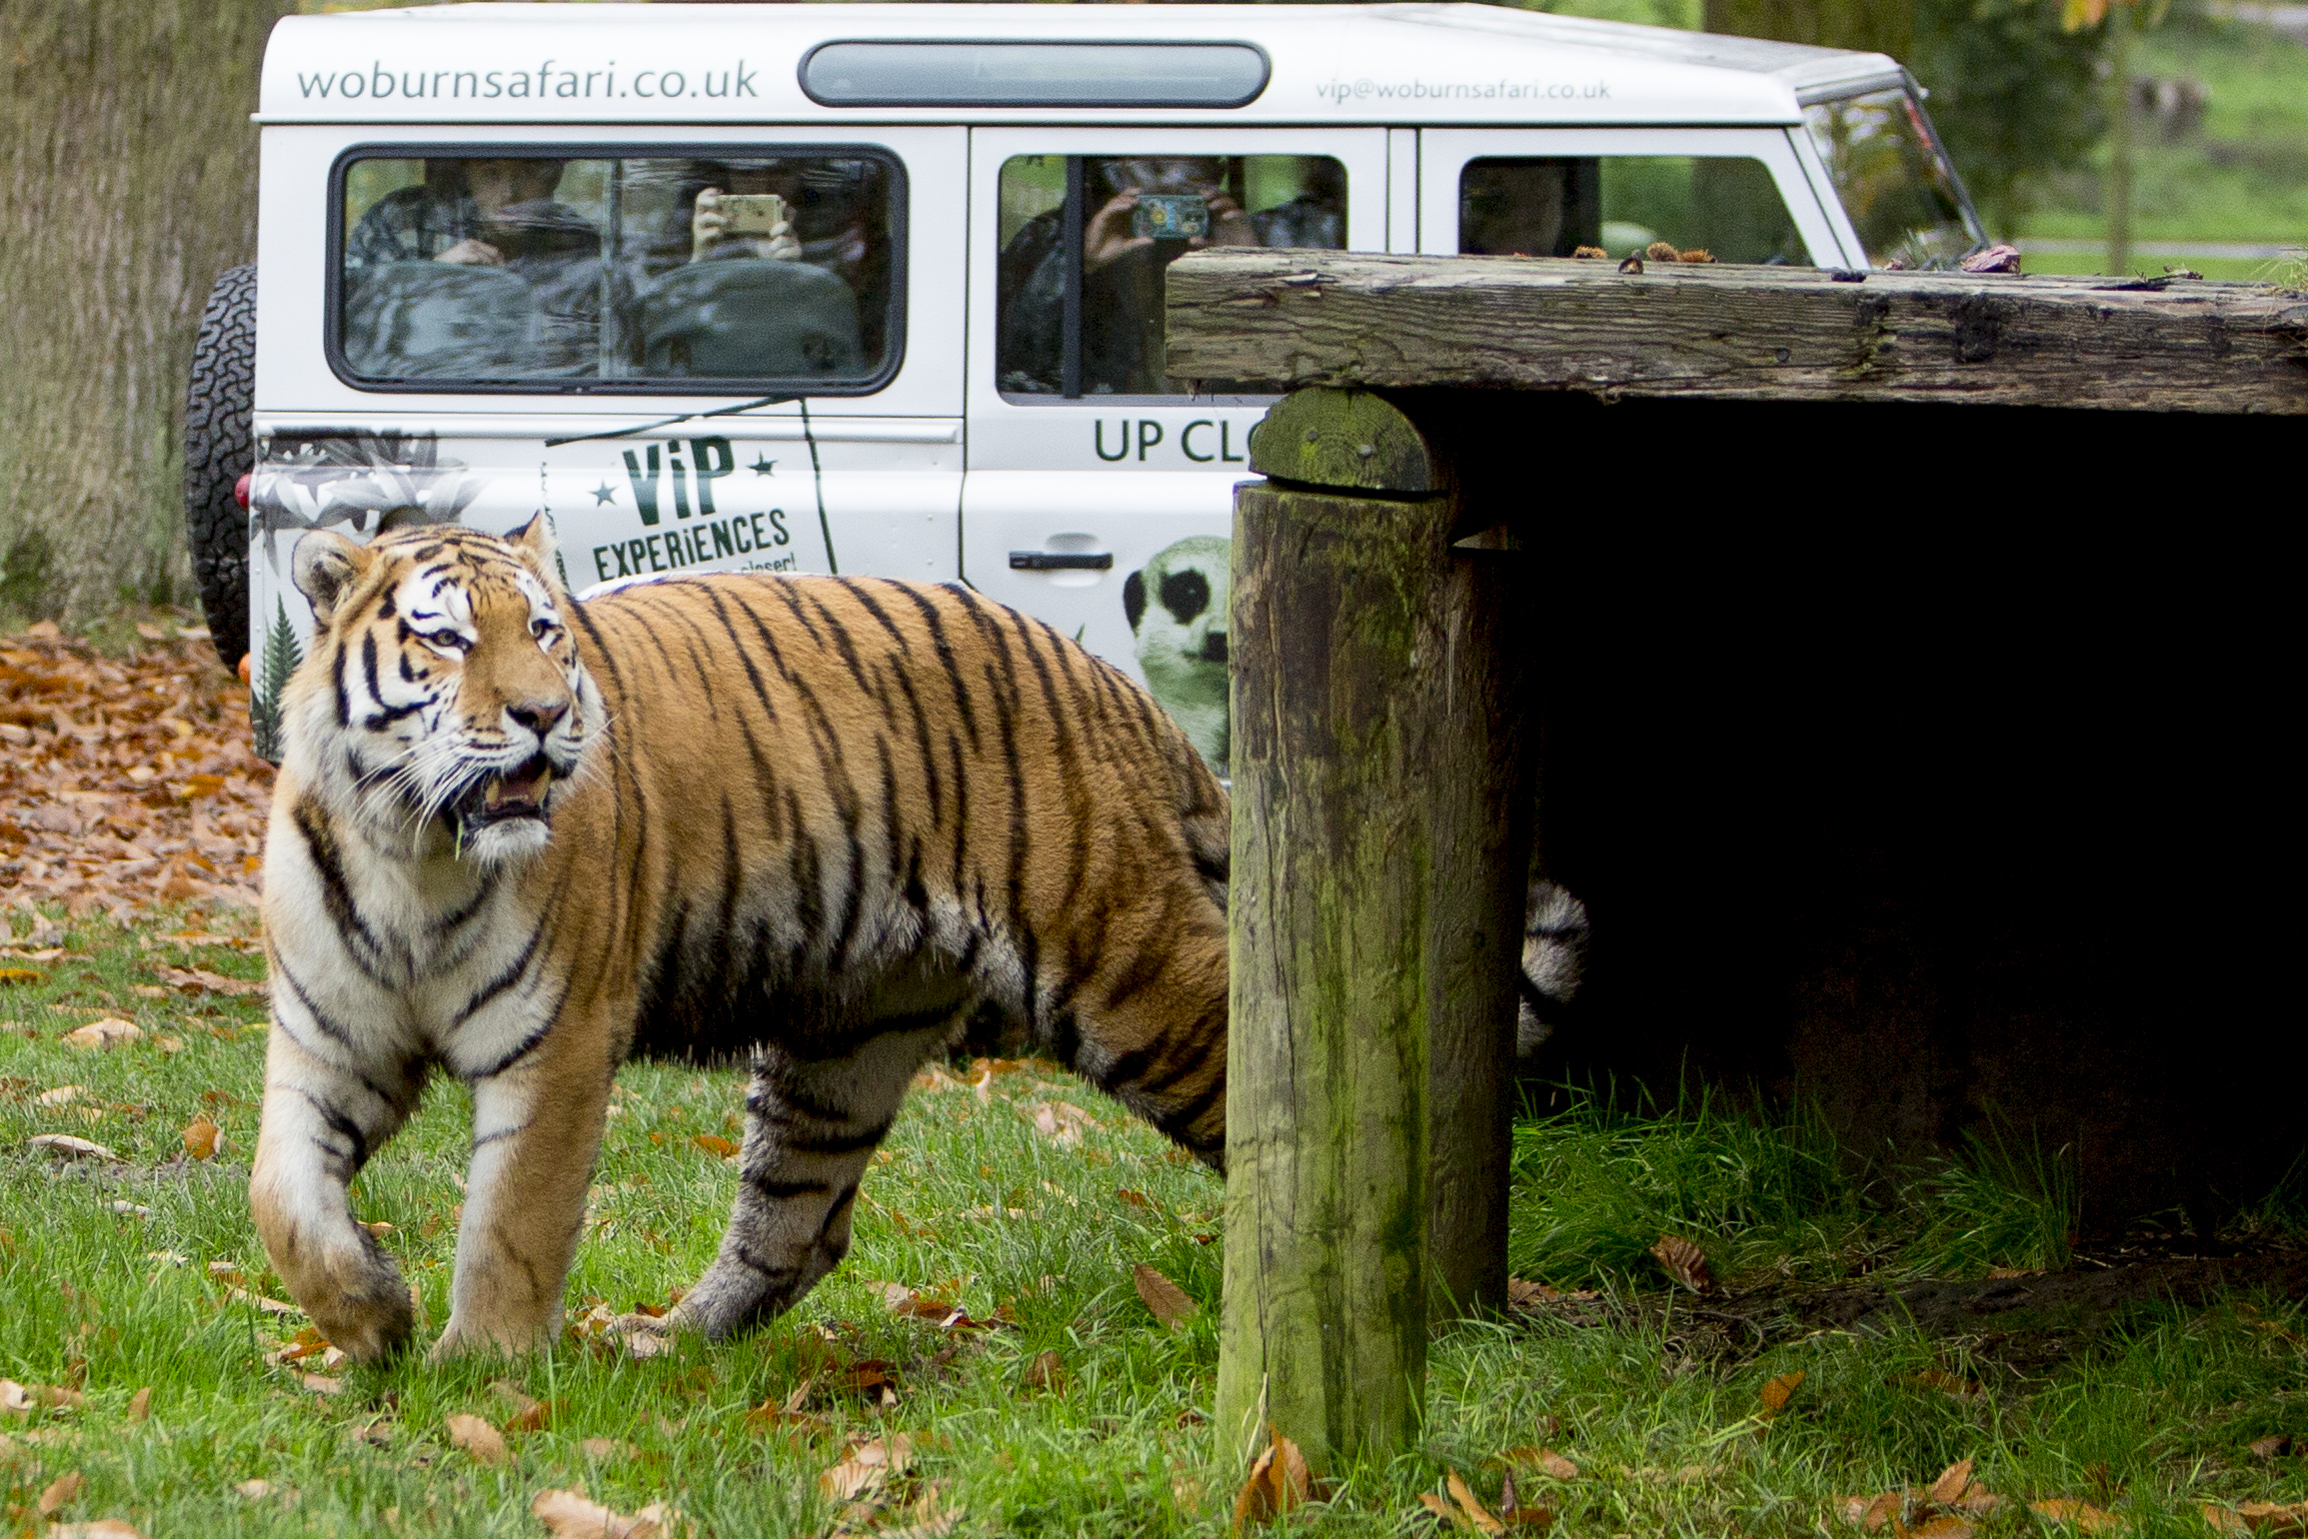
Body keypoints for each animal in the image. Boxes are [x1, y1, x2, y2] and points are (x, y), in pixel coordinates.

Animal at [252, 523, 1587, 1365]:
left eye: (546, 634)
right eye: (447, 642)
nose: (541, 718)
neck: (416, 851)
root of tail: (1118, 691)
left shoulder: (558, 1048)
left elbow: (511, 1226)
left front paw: (480, 1375)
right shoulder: (328, 1042)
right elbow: (282, 1198)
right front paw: (370, 1317)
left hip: (1128, 968)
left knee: (1271, 1087)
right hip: (840, 1043)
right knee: (798, 1226)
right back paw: (667, 1343)